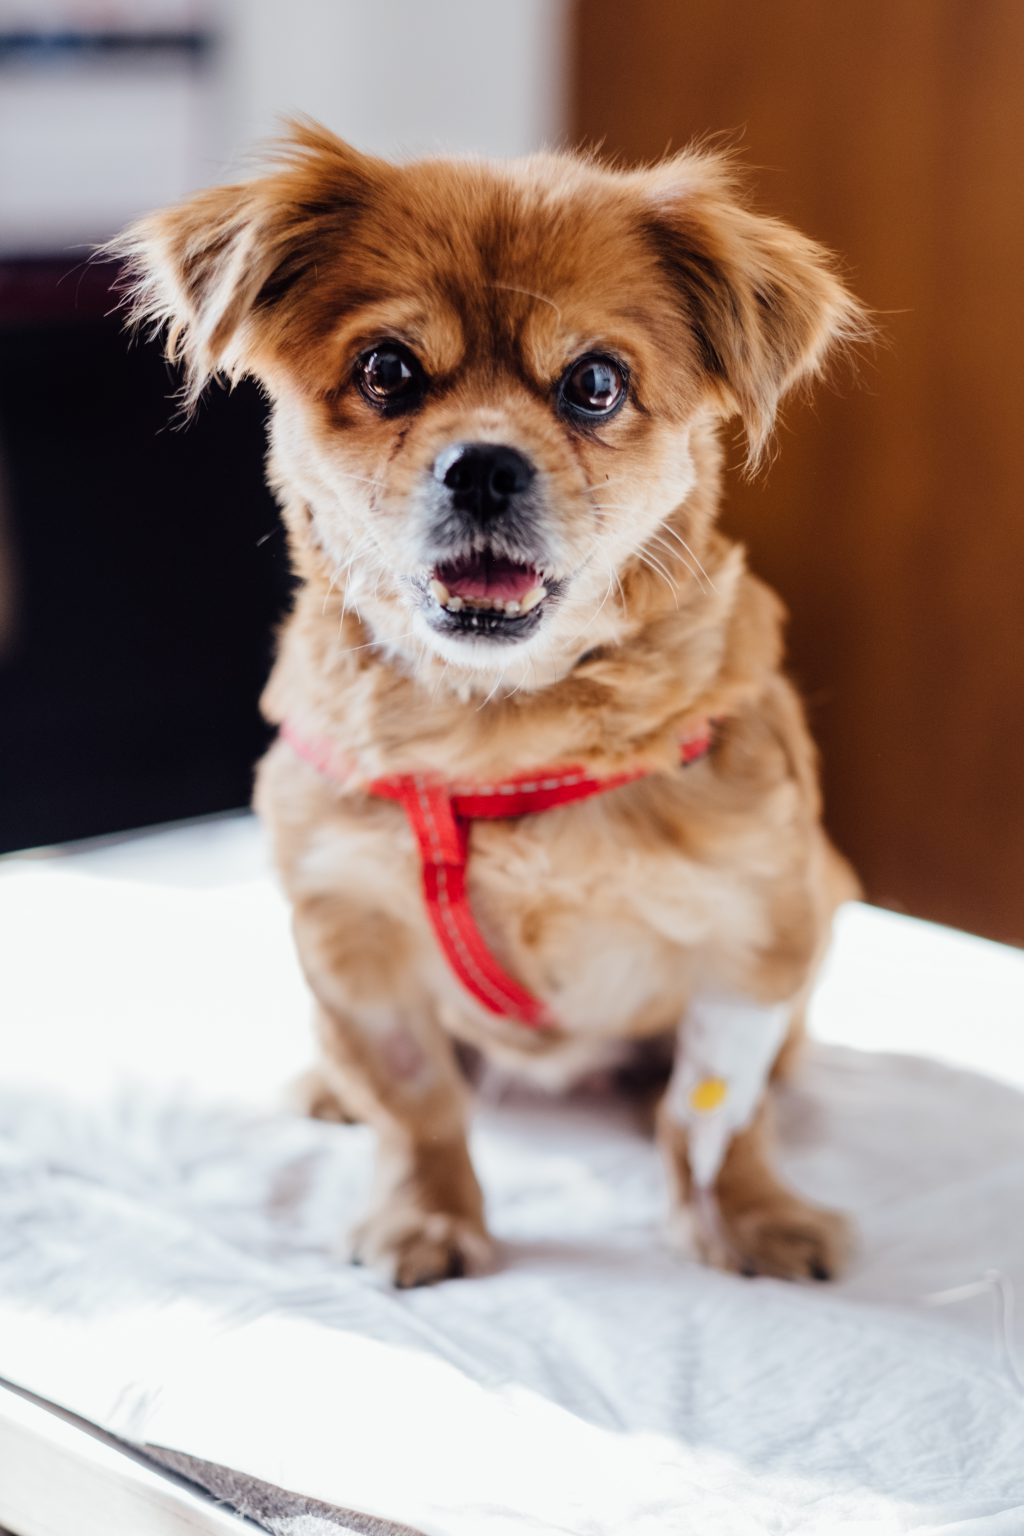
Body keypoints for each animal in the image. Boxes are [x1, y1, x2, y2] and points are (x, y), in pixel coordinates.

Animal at [122, 125, 872, 1290]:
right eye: (387, 370)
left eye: (595, 384)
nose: (481, 465)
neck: (497, 734)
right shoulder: (349, 935)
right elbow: (415, 1101)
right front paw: (425, 1216)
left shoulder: (756, 933)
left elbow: (717, 1115)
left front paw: (750, 1218)